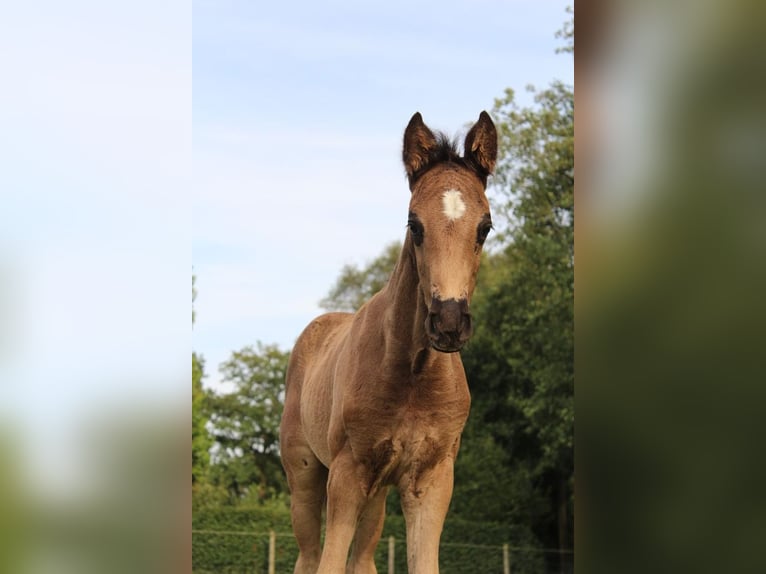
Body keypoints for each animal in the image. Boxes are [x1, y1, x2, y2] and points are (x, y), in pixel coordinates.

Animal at [280, 110, 498, 572]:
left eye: (485, 227)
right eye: (414, 224)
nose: (448, 323)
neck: (412, 374)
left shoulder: (432, 477)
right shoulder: (348, 472)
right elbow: (330, 561)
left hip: (378, 489)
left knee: (362, 558)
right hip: (305, 474)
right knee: (310, 555)